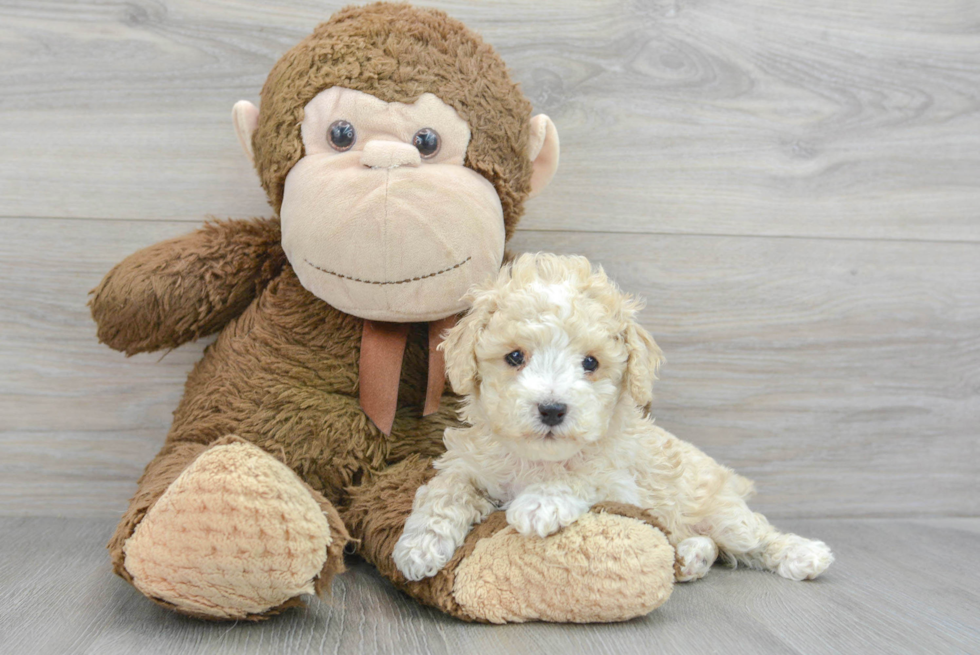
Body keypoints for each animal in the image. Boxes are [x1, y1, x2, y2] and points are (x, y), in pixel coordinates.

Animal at [392, 255, 836, 584]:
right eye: (515, 357)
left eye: (590, 363)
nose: (552, 409)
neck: (538, 460)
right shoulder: (471, 466)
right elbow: (444, 491)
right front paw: (419, 546)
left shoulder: (622, 482)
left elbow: (584, 474)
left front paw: (539, 503)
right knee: (708, 545)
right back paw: (691, 557)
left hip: (722, 514)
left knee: (755, 536)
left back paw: (803, 553)